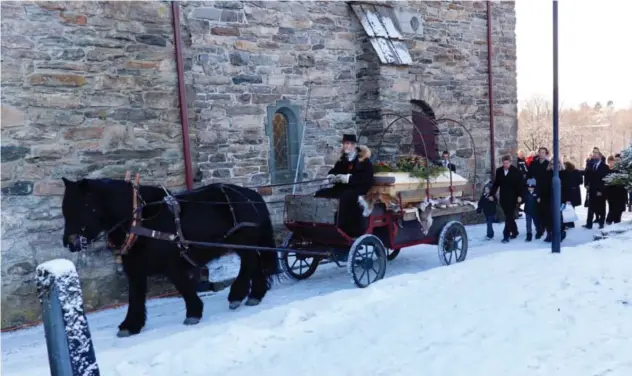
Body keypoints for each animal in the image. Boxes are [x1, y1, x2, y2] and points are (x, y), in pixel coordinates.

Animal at [61, 178, 278, 336]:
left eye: (84, 205)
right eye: (64, 209)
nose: (69, 243)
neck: (139, 220)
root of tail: (253, 196)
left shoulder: (172, 263)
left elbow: (182, 286)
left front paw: (193, 313)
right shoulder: (135, 268)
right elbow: (135, 295)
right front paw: (131, 325)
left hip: (243, 241)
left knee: (250, 263)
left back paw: (237, 295)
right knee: (255, 264)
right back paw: (255, 295)